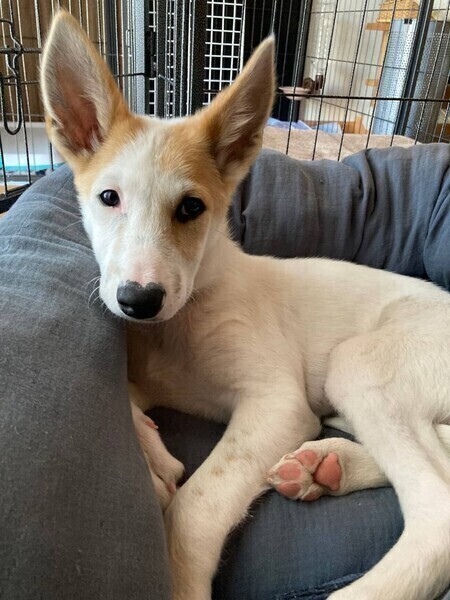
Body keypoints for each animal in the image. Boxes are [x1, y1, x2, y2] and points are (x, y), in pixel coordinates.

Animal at [41, 12, 450, 600]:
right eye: (108, 198)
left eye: (192, 208)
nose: (139, 301)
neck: (182, 320)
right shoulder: (148, 377)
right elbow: (126, 398)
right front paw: (153, 458)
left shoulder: (278, 405)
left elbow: (195, 504)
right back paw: (326, 465)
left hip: (365, 364)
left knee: (436, 506)